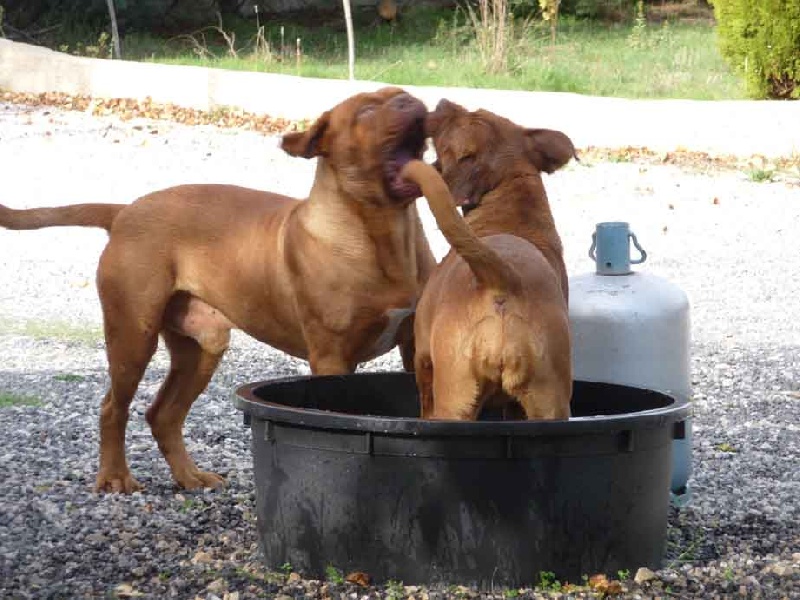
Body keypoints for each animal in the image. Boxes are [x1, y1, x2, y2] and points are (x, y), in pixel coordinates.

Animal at [0, 88, 434, 492]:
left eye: (399, 95)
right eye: (366, 111)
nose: (411, 100)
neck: (386, 234)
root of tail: (123, 211)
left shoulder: (414, 344)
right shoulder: (332, 355)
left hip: (201, 346)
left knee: (163, 414)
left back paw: (190, 476)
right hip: (132, 336)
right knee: (113, 408)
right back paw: (115, 478)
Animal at [404, 99, 580, 422]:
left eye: (463, 116)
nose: (443, 102)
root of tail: (503, 278)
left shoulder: (422, 359)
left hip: (453, 402)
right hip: (550, 405)